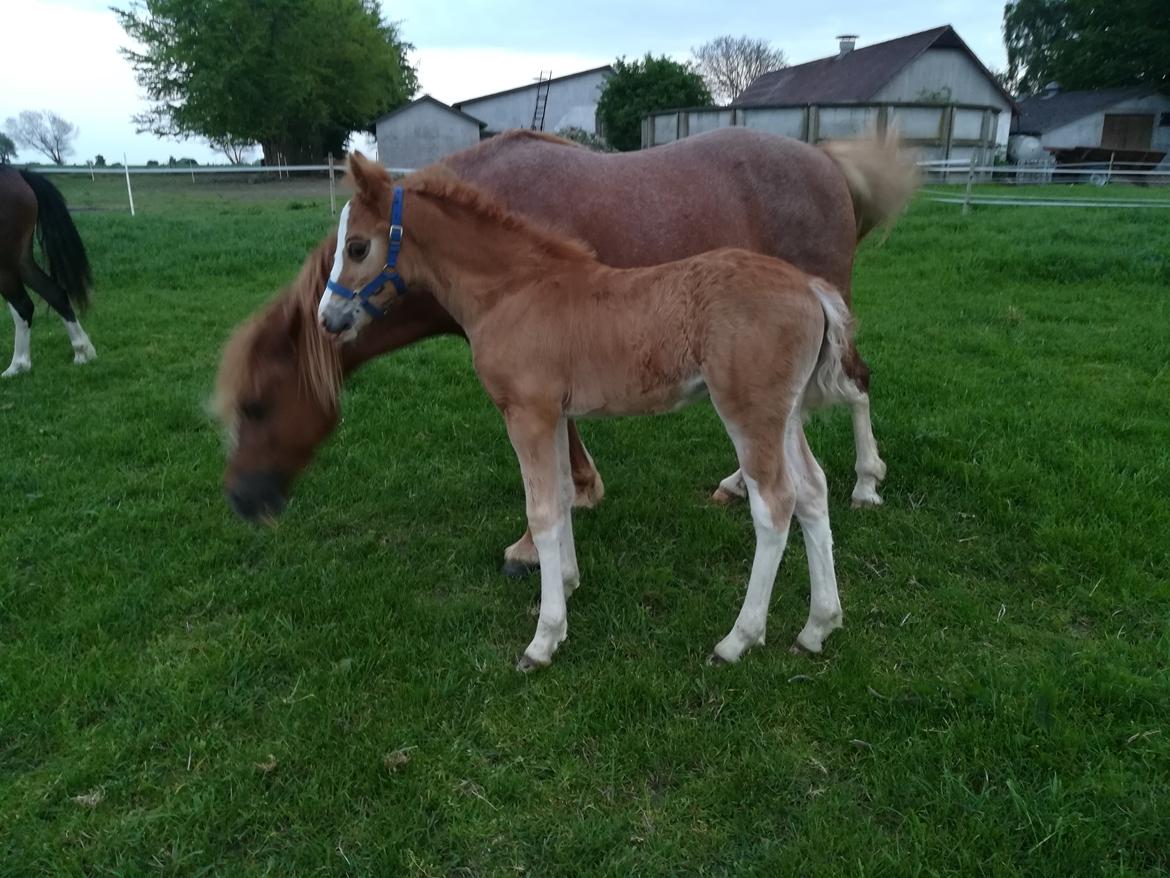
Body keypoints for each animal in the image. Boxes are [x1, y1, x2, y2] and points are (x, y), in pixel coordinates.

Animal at [0, 168, 95, 379]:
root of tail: (19, 175)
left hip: (5, 265)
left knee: (24, 306)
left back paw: (17, 366)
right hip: (22, 260)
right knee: (56, 294)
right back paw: (82, 352)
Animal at [217, 127, 912, 573]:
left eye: (256, 407)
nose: (241, 501)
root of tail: (825, 160)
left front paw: (535, 540)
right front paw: (580, 493)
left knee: (856, 383)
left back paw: (866, 482)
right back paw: (741, 482)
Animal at [315, 154, 865, 669]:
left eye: (357, 246)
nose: (327, 319)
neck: (512, 291)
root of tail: (810, 288)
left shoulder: (527, 414)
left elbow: (541, 512)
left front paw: (543, 639)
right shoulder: (554, 415)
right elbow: (561, 497)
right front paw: (567, 582)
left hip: (749, 413)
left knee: (774, 505)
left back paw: (738, 639)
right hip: (784, 415)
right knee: (812, 491)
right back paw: (818, 626)